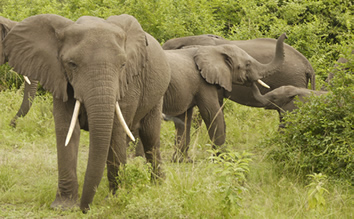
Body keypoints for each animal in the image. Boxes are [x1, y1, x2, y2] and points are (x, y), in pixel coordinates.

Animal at [2, 13, 171, 212]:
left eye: (123, 65)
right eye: (72, 64)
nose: (85, 208)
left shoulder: (128, 84)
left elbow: (115, 131)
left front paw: (115, 199)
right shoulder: (61, 78)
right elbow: (67, 130)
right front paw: (63, 206)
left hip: (157, 92)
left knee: (151, 136)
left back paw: (158, 185)